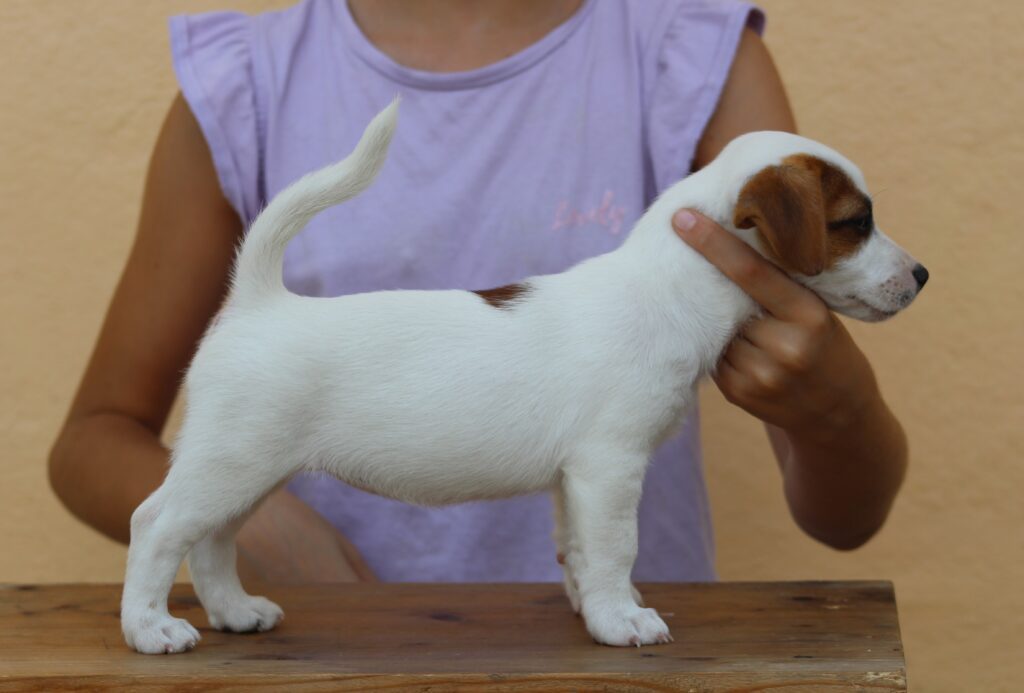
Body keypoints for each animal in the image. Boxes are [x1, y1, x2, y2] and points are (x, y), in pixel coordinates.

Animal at [119, 99, 929, 651]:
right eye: (855, 222)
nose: (921, 275)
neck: (669, 287)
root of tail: (259, 299)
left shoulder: (577, 478)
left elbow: (580, 549)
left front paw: (594, 607)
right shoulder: (611, 465)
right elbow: (616, 546)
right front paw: (623, 618)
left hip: (249, 469)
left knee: (212, 540)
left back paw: (235, 611)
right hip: (232, 460)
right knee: (157, 524)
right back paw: (150, 628)